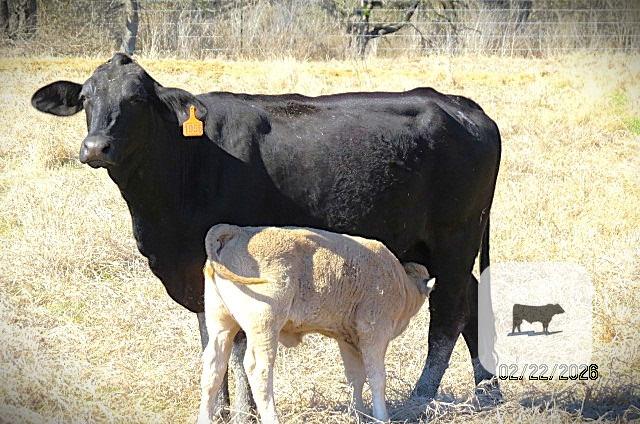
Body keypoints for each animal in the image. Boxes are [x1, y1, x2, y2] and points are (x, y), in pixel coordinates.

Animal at [198, 224, 435, 423]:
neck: (402, 283)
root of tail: (237, 232)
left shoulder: (347, 339)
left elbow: (356, 377)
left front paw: (359, 413)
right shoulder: (374, 331)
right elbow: (377, 377)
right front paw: (381, 417)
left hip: (220, 325)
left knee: (213, 367)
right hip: (264, 326)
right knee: (259, 369)